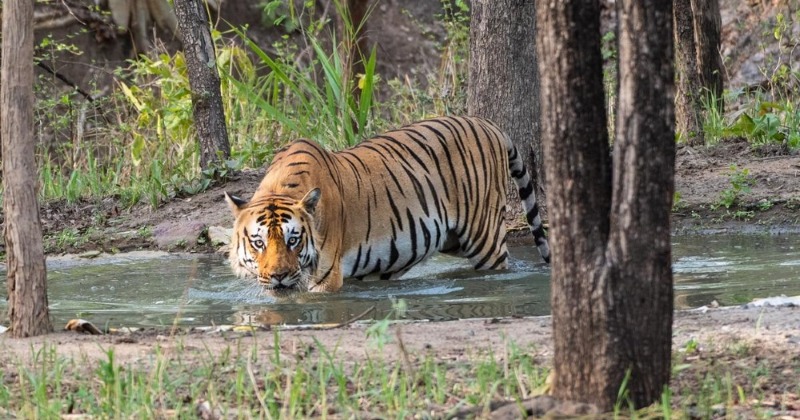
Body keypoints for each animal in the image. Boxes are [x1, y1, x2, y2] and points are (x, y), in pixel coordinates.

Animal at [225, 115, 552, 292]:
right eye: (258, 242)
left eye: (293, 240)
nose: (279, 277)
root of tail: (488, 124)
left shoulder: (326, 278)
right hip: (452, 239)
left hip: (483, 237)